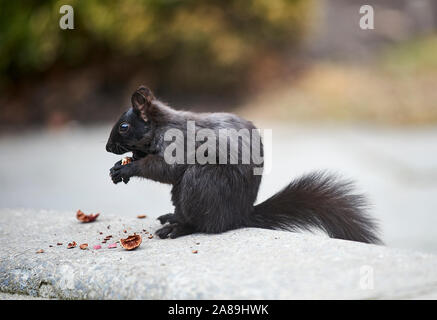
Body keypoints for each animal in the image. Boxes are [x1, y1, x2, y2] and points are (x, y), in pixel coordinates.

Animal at [107, 85, 380, 242]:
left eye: (124, 127)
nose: (108, 147)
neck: (161, 124)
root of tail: (238, 216)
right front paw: (123, 165)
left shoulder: (178, 143)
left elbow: (166, 169)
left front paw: (129, 167)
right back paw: (172, 217)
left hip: (200, 182)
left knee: (203, 224)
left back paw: (179, 228)